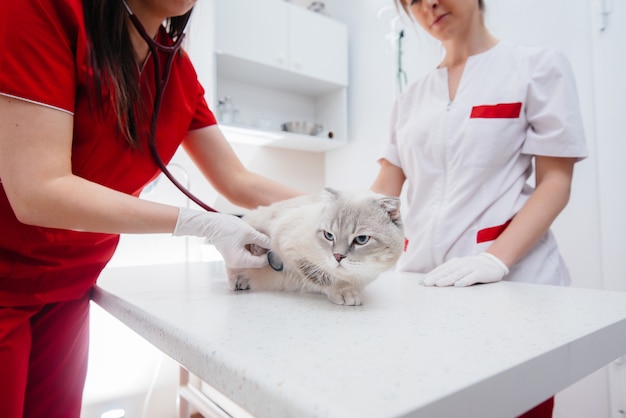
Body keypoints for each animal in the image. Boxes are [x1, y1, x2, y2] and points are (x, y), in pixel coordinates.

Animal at [227, 188, 402, 306]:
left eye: (361, 239)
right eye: (329, 235)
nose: (337, 257)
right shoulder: (289, 248)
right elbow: (324, 277)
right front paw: (345, 291)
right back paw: (240, 281)